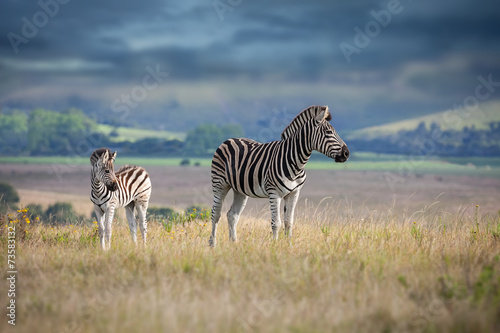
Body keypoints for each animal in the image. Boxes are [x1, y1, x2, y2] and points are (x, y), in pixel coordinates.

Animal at [209, 105, 350, 245]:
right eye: (328, 133)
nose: (346, 153)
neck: (295, 163)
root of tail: (229, 139)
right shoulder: (274, 193)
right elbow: (276, 223)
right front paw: (274, 246)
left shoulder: (294, 193)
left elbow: (289, 222)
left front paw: (289, 245)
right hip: (220, 184)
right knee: (215, 214)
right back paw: (213, 244)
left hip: (240, 190)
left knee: (232, 215)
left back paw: (234, 244)